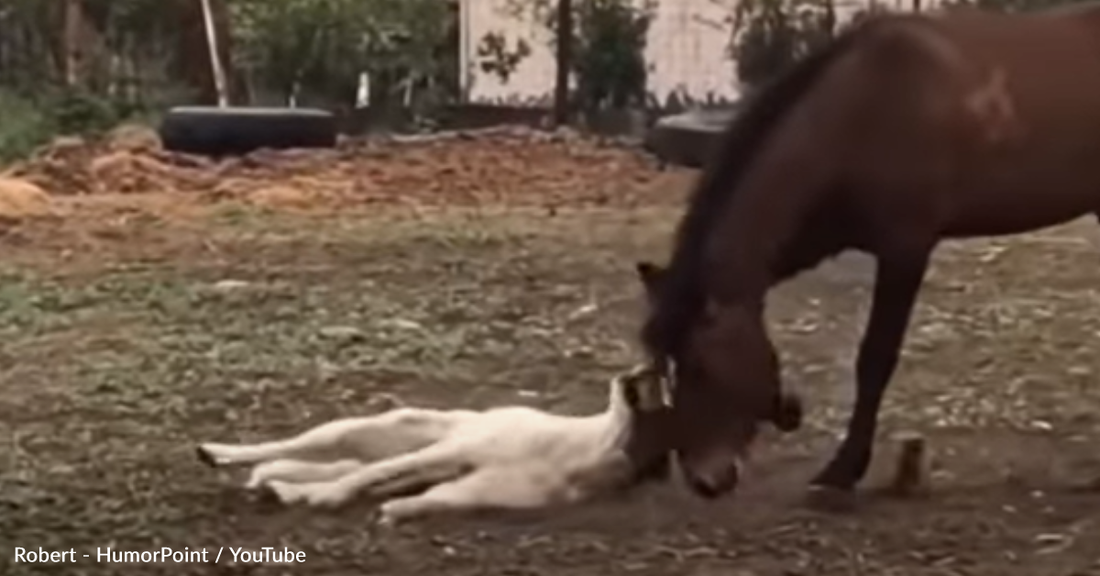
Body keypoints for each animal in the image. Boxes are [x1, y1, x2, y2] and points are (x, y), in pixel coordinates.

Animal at [196, 367, 668, 523]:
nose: (647, 365)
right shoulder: (453, 453)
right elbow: (371, 477)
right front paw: (331, 497)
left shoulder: (471, 488)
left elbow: (423, 497)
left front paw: (393, 511)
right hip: (373, 429)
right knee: (312, 449)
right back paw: (218, 452)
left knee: (337, 468)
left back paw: (281, 486)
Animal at [638, 3, 1100, 499]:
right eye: (664, 369)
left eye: (701, 366)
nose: (703, 479)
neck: (861, 112)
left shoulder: (905, 248)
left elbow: (874, 359)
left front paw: (843, 470)